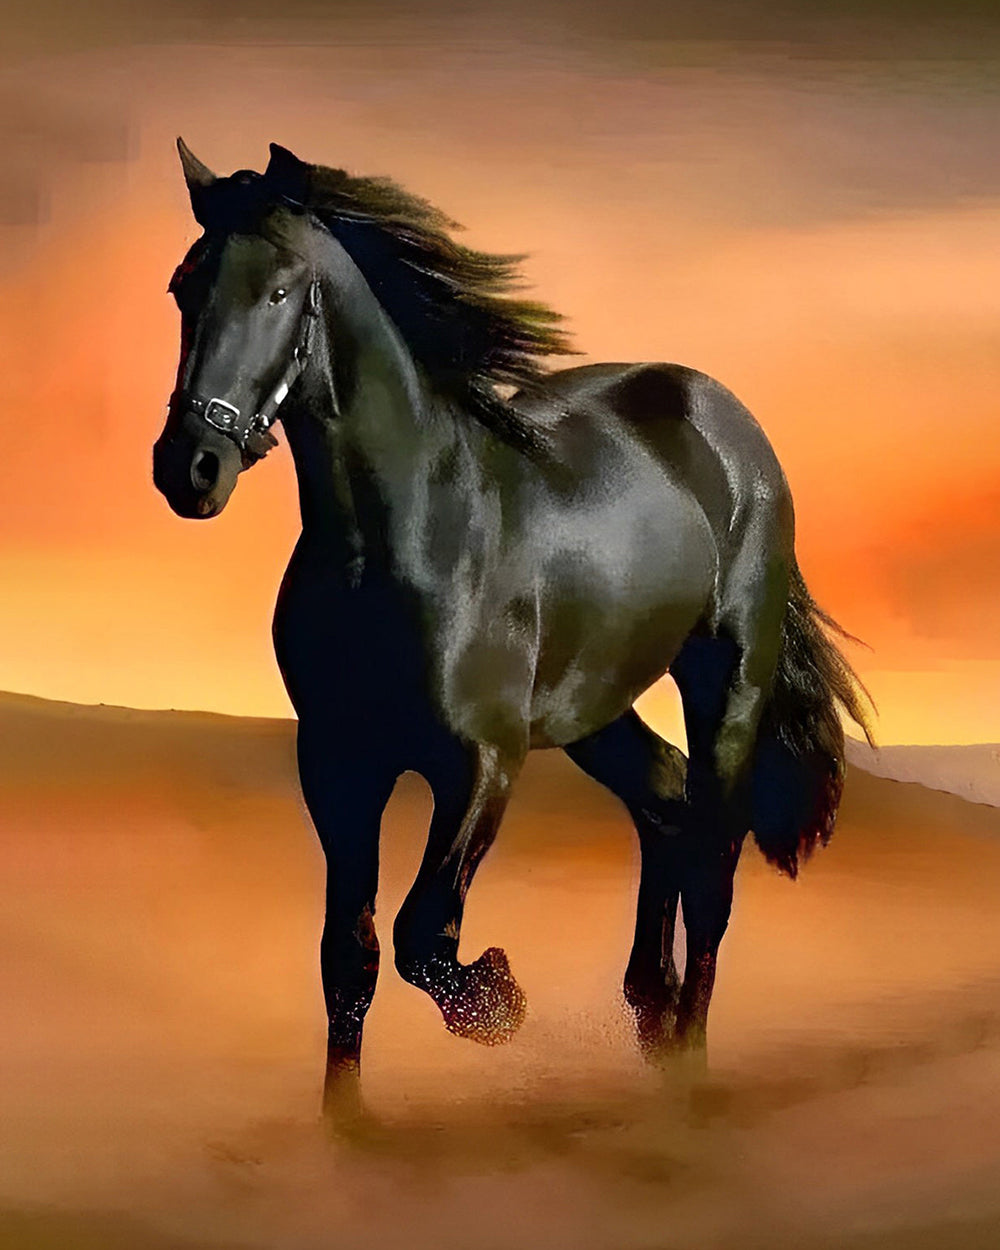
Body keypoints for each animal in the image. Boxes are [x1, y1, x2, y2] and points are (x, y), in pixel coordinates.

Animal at [153, 139, 874, 1120]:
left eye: (278, 291)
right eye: (183, 286)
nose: (190, 468)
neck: (403, 539)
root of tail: (728, 422)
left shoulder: (483, 763)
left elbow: (423, 934)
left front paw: (498, 1001)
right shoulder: (339, 764)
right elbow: (351, 957)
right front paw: (344, 1125)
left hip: (727, 682)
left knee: (713, 862)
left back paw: (686, 1062)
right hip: (595, 706)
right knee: (665, 801)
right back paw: (648, 1012)